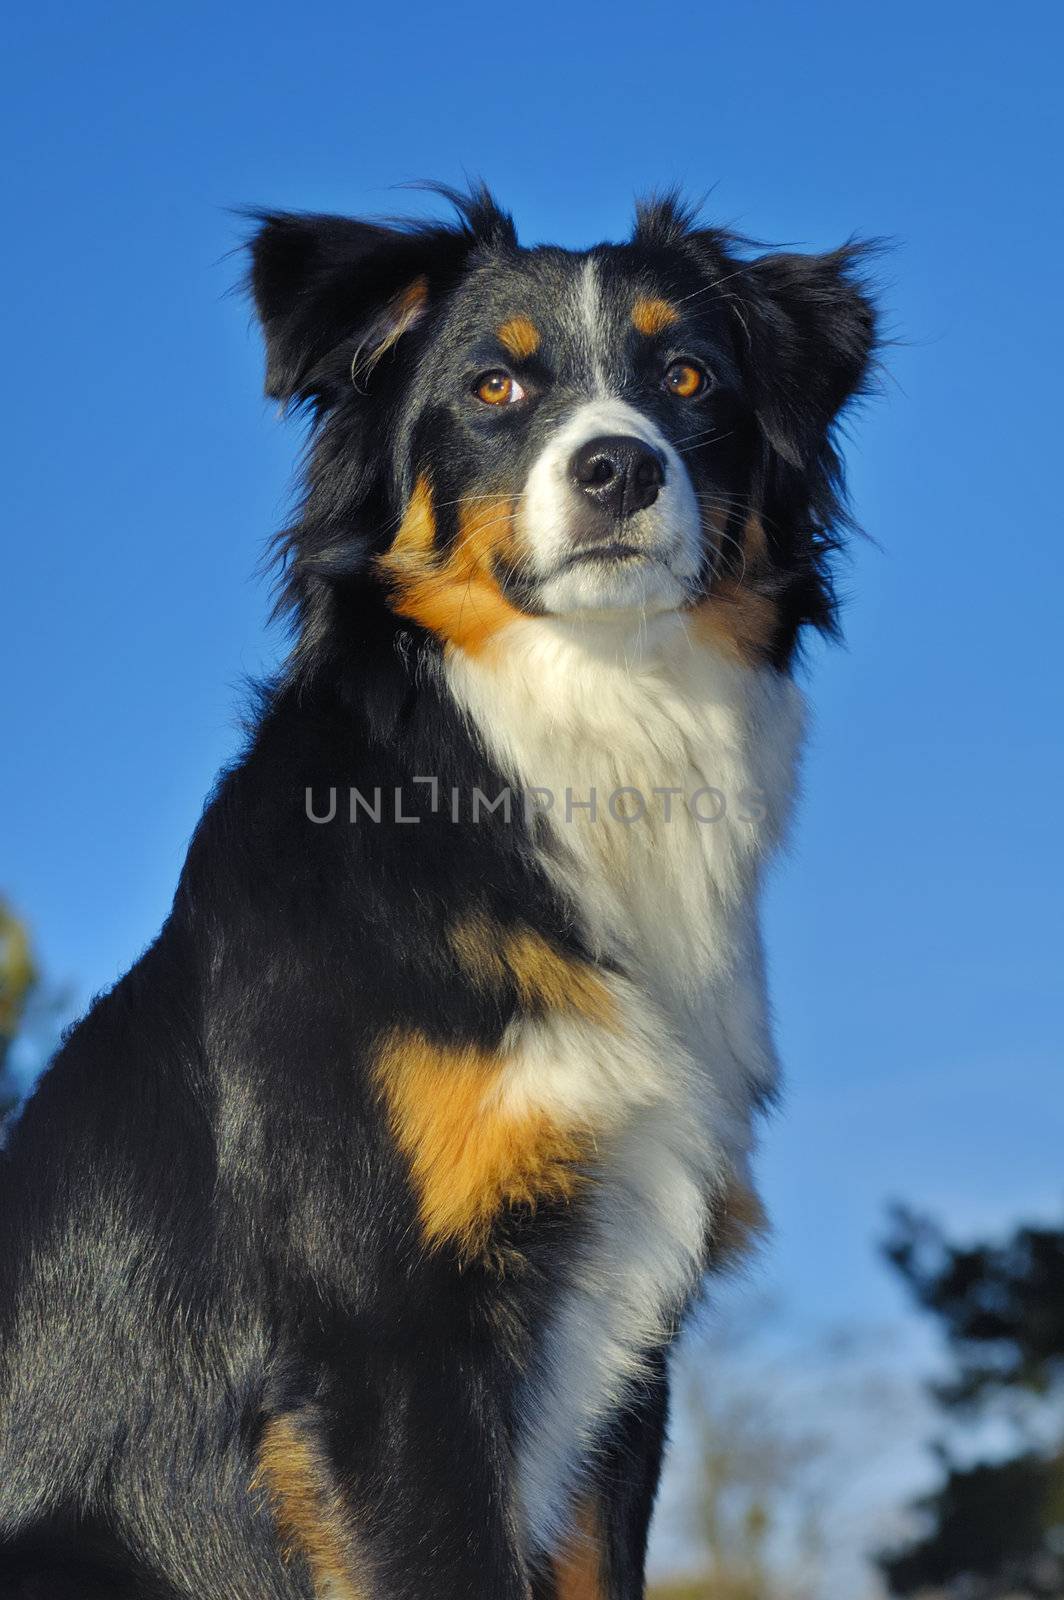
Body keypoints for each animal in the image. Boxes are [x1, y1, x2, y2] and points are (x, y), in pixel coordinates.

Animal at [0, 190, 876, 1600]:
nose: (617, 468)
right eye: (493, 384)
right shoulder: (386, 1343)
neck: (582, 730)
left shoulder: (620, 1362)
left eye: (688, 377)